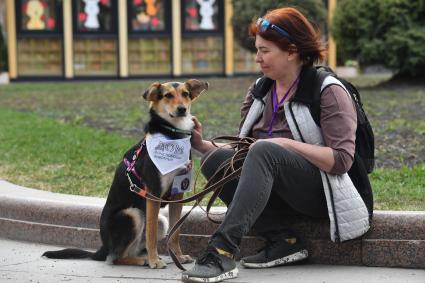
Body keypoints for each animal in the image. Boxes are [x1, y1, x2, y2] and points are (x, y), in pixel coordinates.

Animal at [43, 79, 209, 268]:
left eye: (186, 94)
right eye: (167, 95)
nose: (182, 109)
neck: (172, 135)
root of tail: (103, 247)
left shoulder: (177, 193)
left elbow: (176, 232)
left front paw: (178, 257)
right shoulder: (153, 193)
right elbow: (151, 234)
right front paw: (155, 261)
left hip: (160, 221)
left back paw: (143, 258)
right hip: (133, 214)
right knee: (115, 258)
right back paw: (145, 260)